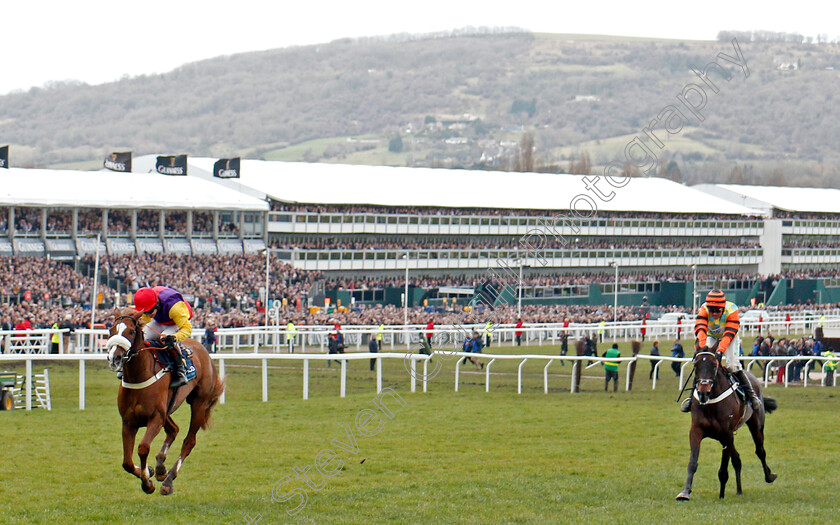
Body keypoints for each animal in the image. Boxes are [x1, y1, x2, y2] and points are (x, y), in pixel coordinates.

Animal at [106, 304, 225, 494]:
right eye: (111, 330)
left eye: (131, 331)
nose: (114, 358)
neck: (138, 375)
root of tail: (201, 348)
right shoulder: (128, 421)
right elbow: (127, 463)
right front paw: (150, 471)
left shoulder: (155, 418)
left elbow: (143, 448)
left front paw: (147, 483)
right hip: (167, 409)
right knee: (173, 429)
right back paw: (161, 468)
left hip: (199, 404)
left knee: (189, 441)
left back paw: (169, 480)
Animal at [672, 348, 776, 500]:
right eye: (696, 365)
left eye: (713, 366)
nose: (703, 392)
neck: (711, 403)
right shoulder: (696, 430)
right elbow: (692, 463)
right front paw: (685, 492)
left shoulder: (727, 433)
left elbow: (723, 468)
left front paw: (721, 495)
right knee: (737, 459)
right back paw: (739, 490)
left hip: (756, 425)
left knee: (760, 451)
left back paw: (769, 476)